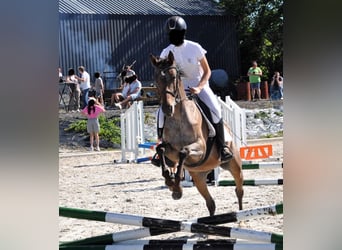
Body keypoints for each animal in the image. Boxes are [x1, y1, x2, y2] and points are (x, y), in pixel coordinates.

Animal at [151, 50, 244, 215]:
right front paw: (171, 182)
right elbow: (161, 149)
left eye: (173, 77)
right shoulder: (171, 150)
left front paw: (176, 185)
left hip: (235, 166)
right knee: (210, 203)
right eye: (156, 79)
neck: (178, 118)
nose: (167, 108)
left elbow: (183, 151)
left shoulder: (200, 148)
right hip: (199, 176)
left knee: (239, 190)